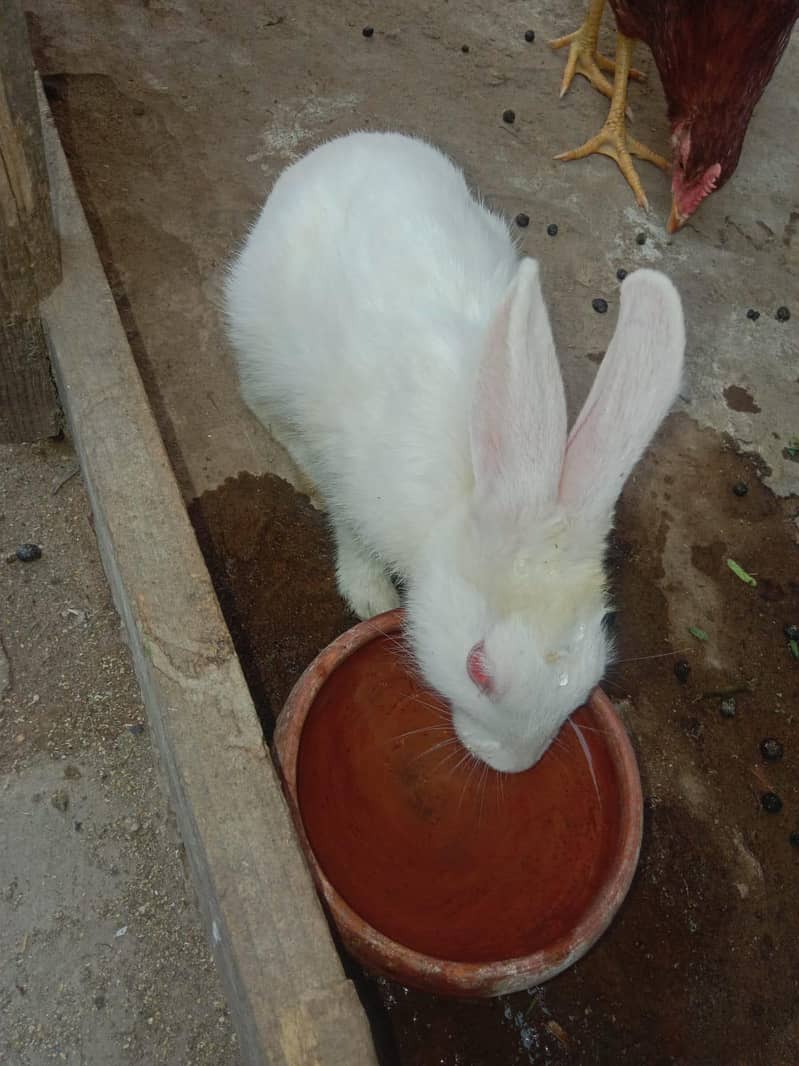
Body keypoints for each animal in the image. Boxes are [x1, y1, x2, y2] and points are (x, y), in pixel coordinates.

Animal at [224, 130, 685, 773]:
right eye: (477, 670)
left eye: (596, 668)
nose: (513, 765)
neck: (472, 493)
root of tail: (346, 144)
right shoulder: (352, 483)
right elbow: (350, 535)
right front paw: (371, 597)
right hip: (259, 344)